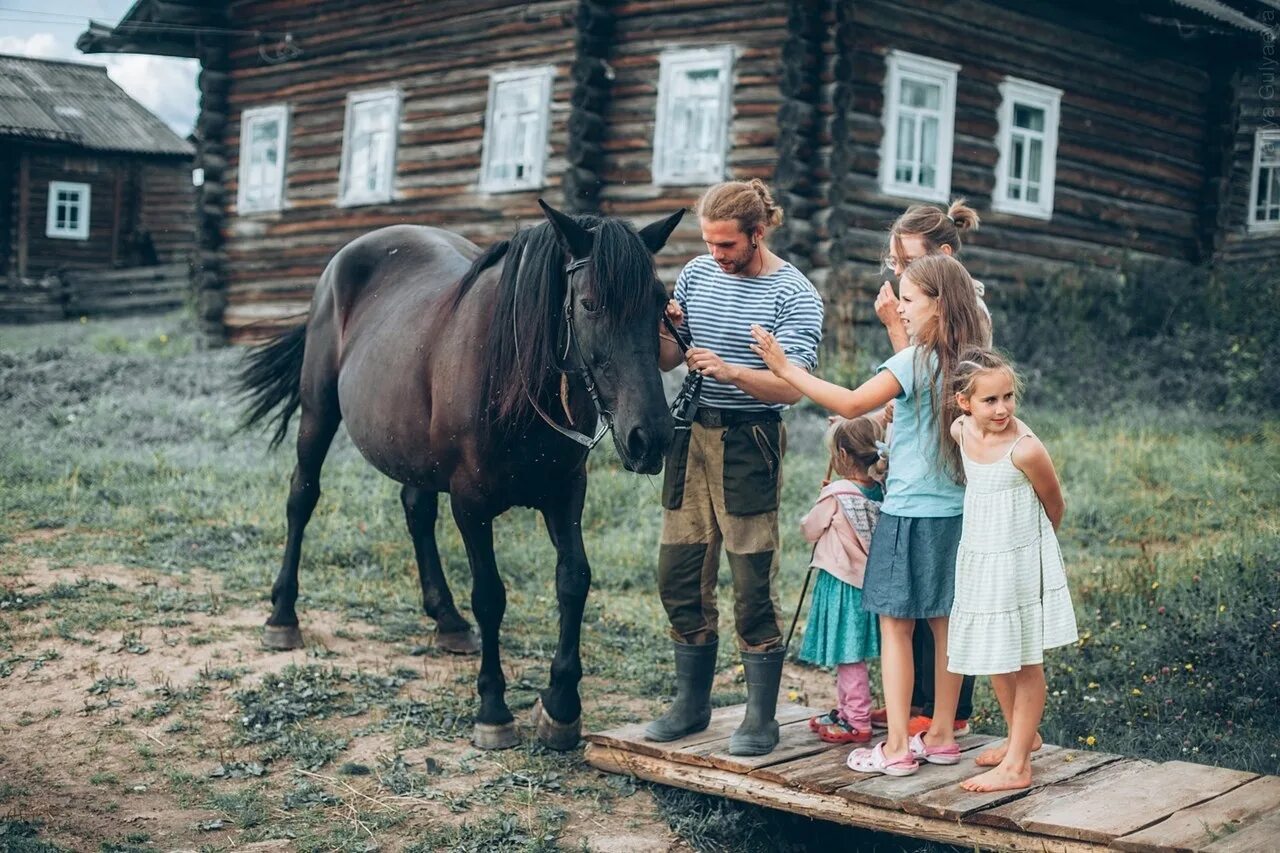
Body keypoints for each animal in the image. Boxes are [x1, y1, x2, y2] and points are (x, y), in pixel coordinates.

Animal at [238, 199, 680, 742]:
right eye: (591, 304)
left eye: (661, 304)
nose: (650, 437)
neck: (511, 379)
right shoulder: (471, 503)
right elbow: (490, 595)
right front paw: (493, 708)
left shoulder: (566, 491)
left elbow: (574, 579)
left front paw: (560, 703)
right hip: (318, 412)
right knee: (302, 496)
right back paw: (282, 615)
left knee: (415, 511)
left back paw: (447, 619)